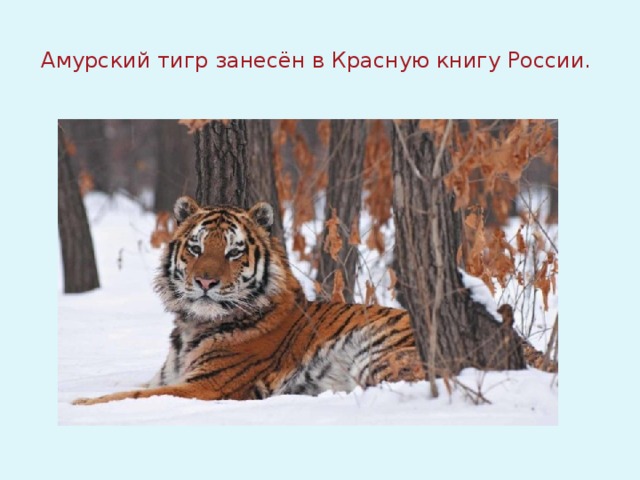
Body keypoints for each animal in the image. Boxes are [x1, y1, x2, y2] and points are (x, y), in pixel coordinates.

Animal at [73, 196, 424, 405]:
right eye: (196, 248)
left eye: (233, 252)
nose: (205, 282)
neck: (190, 327)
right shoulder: (166, 377)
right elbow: (135, 388)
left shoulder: (205, 385)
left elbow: (126, 395)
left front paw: (79, 404)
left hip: (376, 356)